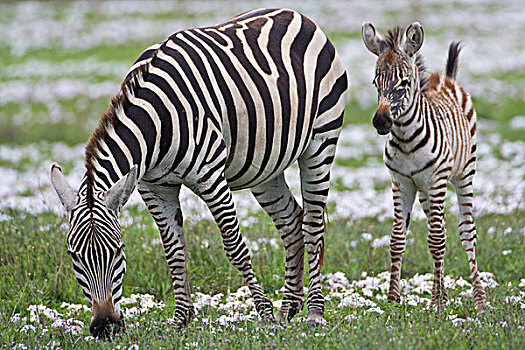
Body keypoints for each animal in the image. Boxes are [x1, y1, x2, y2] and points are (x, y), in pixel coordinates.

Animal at [50, 8, 348, 336]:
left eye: (118, 250)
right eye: (74, 256)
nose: (104, 326)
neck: (155, 124)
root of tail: (296, 14)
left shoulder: (211, 177)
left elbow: (234, 246)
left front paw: (264, 314)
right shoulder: (154, 188)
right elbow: (173, 251)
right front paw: (181, 320)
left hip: (321, 139)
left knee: (313, 225)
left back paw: (314, 313)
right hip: (266, 167)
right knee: (291, 221)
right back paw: (288, 309)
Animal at [362, 21, 486, 312]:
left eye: (404, 83)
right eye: (375, 82)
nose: (381, 122)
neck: (406, 139)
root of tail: (446, 78)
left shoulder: (436, 180)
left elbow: (436, 240)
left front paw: (437, 305)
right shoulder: (401, 182)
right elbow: (398, 239)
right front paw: (393, 300)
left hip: (463, 175)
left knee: (466, 232)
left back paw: (479, 299)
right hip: (426, 192)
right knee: (441, 226)